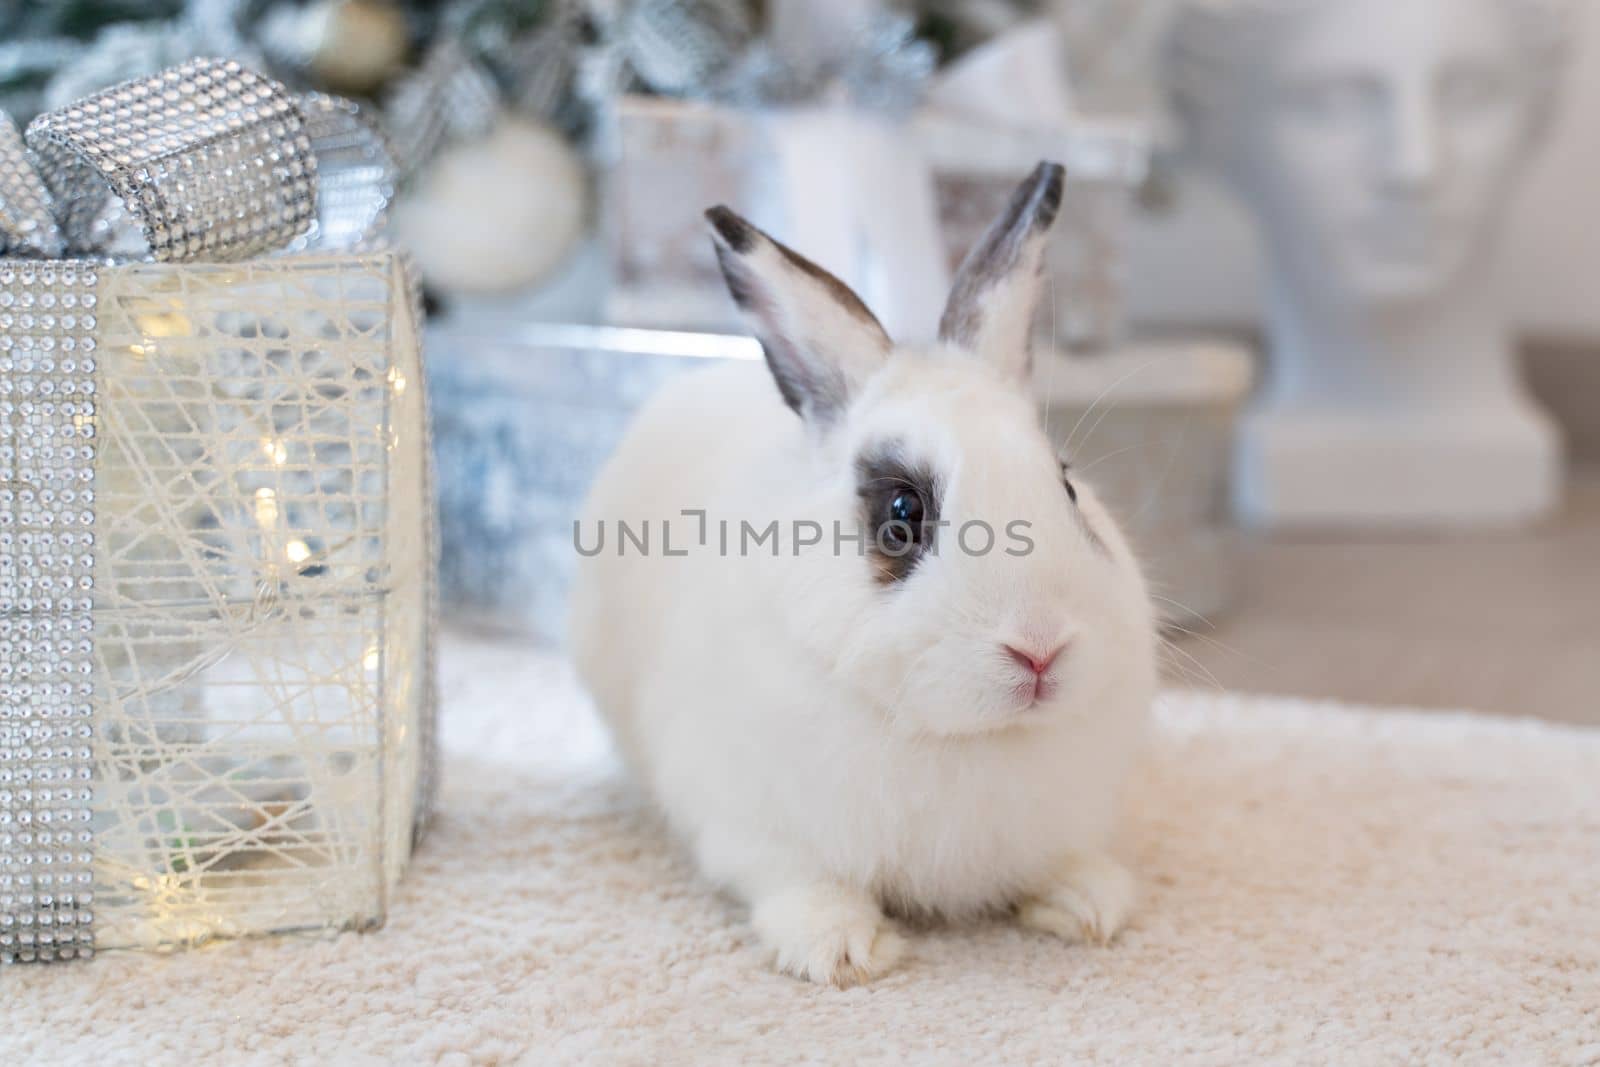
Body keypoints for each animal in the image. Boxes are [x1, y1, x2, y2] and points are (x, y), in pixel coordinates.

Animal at [569, 163, 1158, 991]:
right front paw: (842, 951)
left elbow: (1064, 861)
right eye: (902, 513)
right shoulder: (753, 825)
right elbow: (800, 882)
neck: (966, 736)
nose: (1040, 648)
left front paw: (1093, 905)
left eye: (1067, 486)